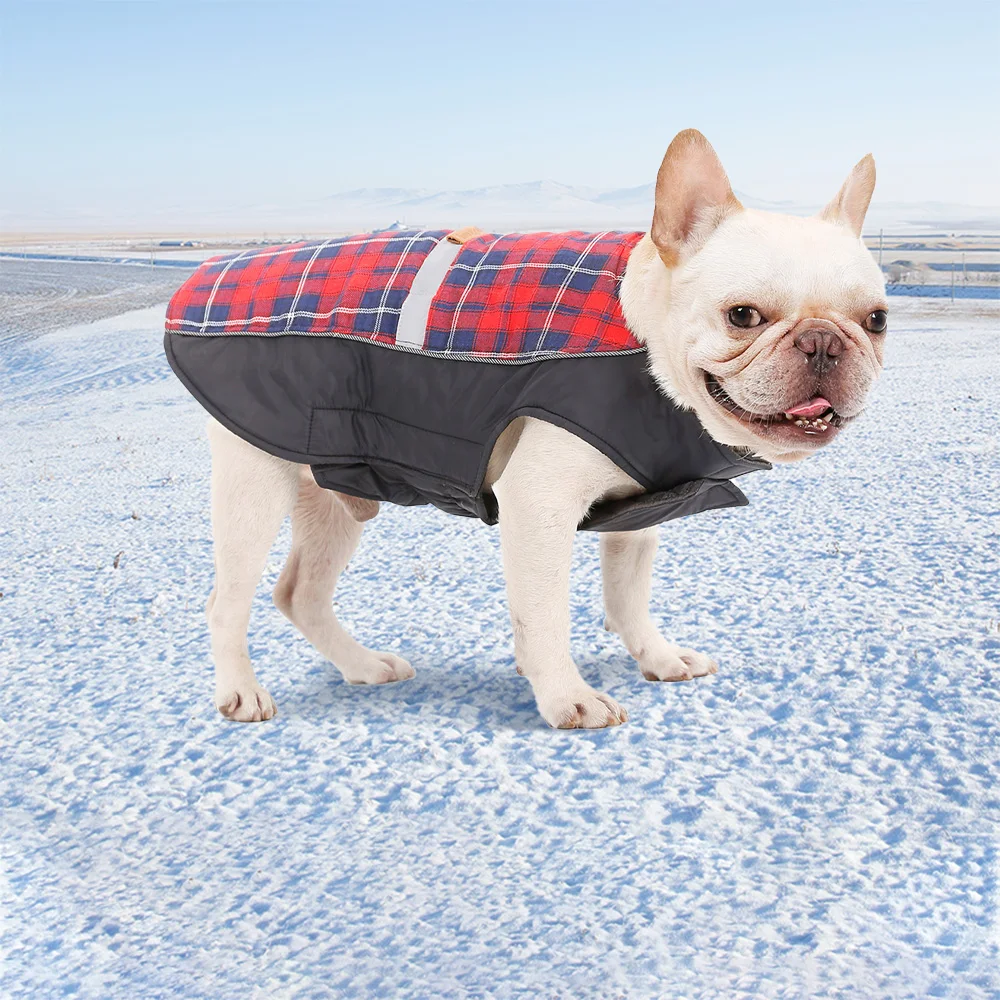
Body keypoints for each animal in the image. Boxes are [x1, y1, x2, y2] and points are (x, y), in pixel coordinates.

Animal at [180, 131, 884, 728]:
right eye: (743, 316)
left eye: (875, 320)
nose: (823, 342)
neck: (641, 338)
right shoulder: (538, 508)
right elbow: (545, 612)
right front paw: (567, 697)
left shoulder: (640, 513)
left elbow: (627, 597)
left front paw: (657, 659)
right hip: (254, 485)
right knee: (227, 601)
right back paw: (241, 692)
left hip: (333, 493)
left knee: (301, 593)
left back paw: (362, 666)